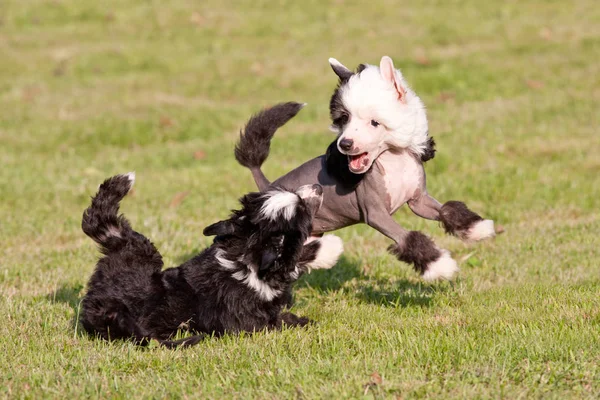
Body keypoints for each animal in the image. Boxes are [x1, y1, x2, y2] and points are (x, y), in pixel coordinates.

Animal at [80, 174, 342, 346]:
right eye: (303, 212)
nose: (317, 187)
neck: (243, 259)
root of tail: (97, 303)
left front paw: (327, 249)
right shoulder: (248, 322)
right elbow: (279, 318)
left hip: (138, 251)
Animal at [232, 55, 494, 282]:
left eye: (374, 122)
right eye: (344, 118)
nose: (345, 144)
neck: (393, 160)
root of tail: (267, 187)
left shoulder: (418, 201)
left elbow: (447, 210)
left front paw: (478, 229)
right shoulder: (376, 214)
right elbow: (407, 238)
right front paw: (440, 265)